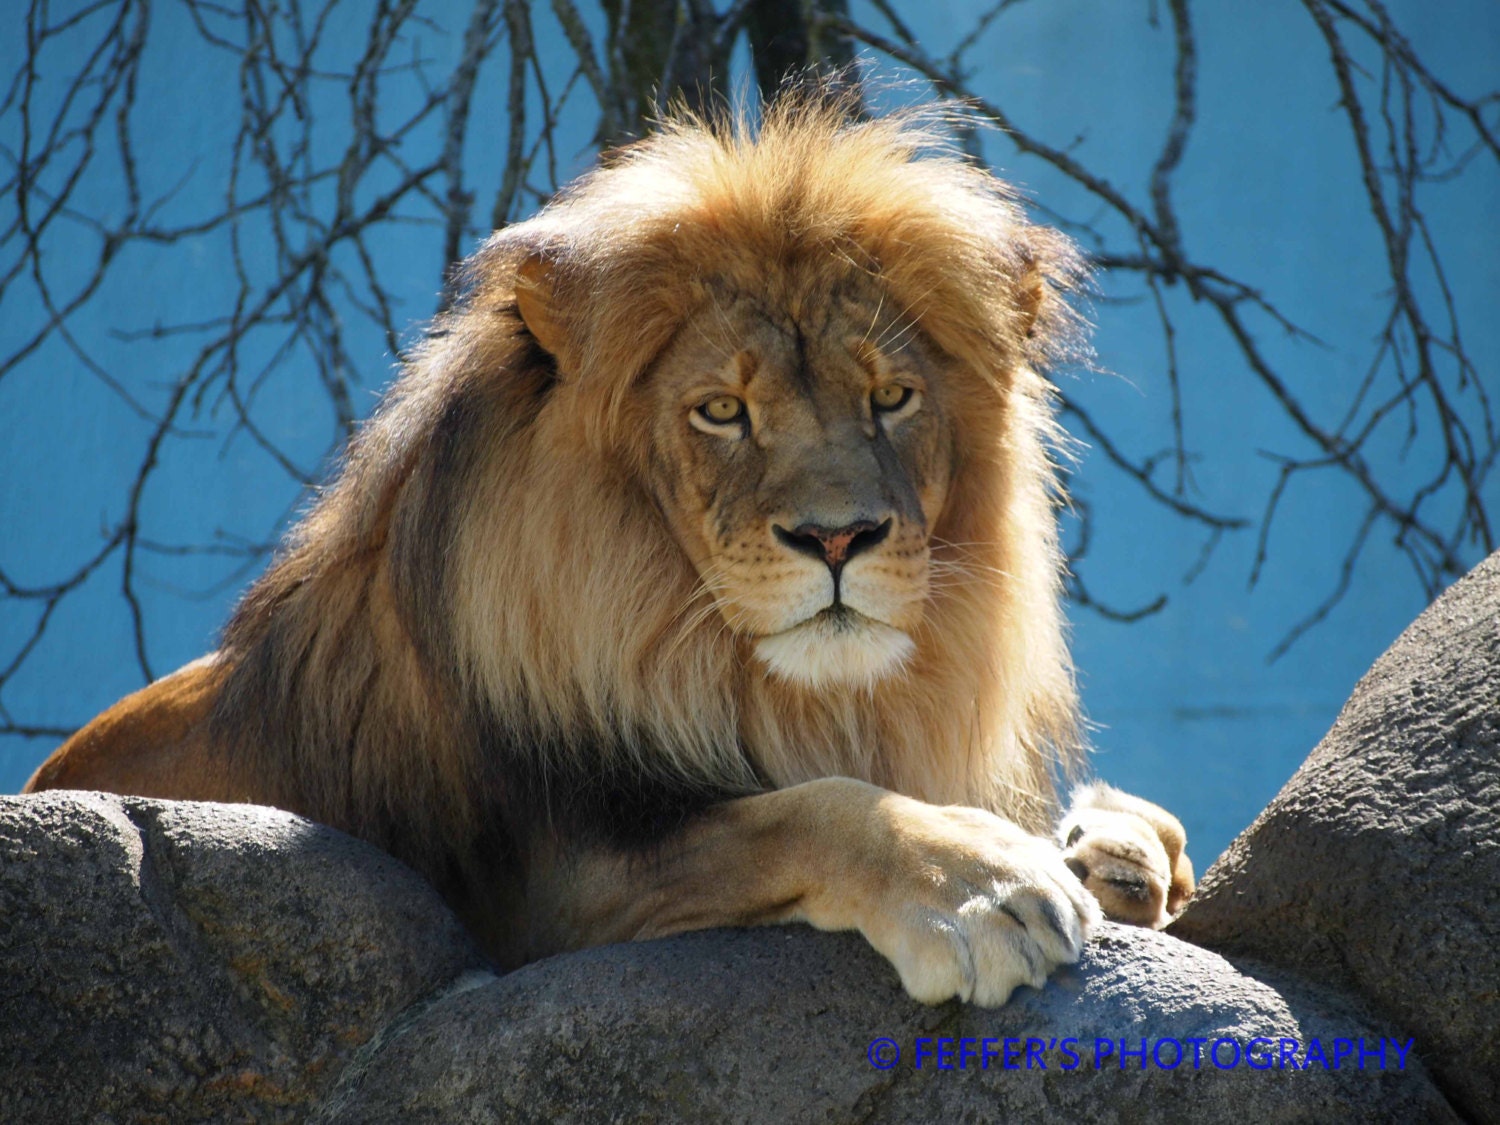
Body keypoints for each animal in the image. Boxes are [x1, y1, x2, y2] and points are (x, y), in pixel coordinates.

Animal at [26, 96, 1193, 1006]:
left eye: (893, 397)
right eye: (721, 410)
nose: (838, 537)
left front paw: (1117, 848)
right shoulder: (543, 887)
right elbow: (806, 809)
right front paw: (980, 885)